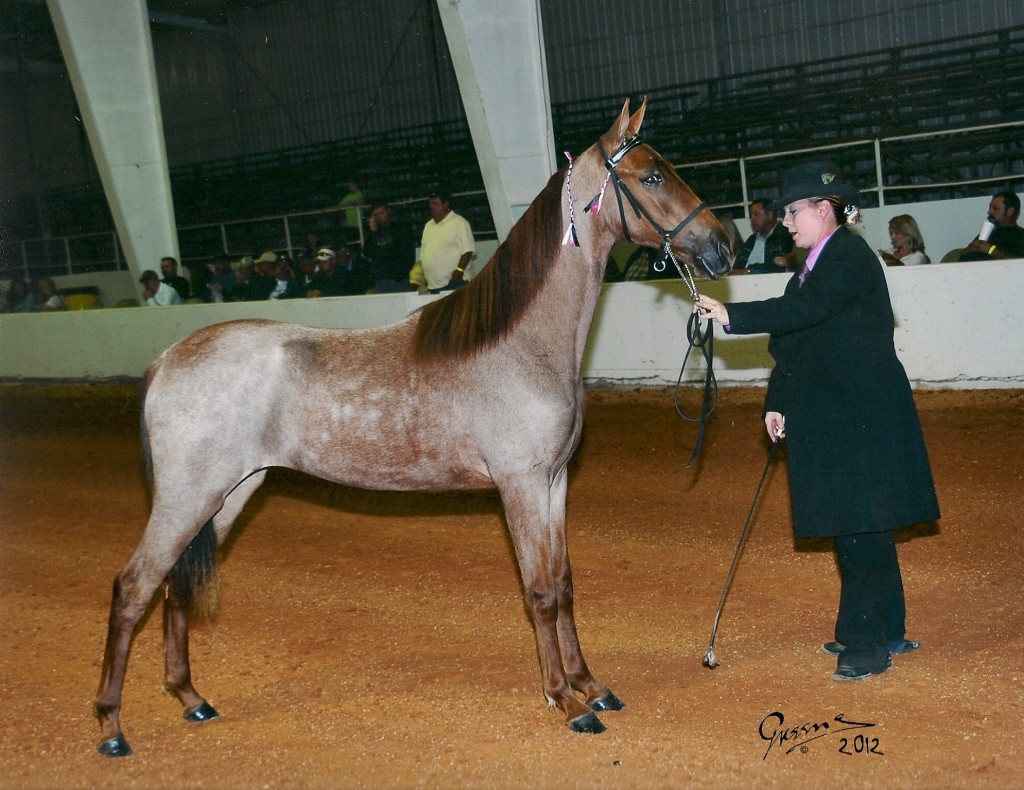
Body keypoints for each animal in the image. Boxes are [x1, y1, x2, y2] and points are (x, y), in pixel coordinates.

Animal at [93, 98, 732, 757]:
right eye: (651, 177)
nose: (723, 244)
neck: (523, 344)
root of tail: (167, 359)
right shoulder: (522, 487)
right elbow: (539, 592)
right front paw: (565, 700)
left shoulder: (554, 486)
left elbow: (564, 584)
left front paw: (591, 685)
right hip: (187, 497)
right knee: (134, 587)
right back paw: (112, 727)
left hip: (228, 496)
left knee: (175, 587)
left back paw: (190, 698)